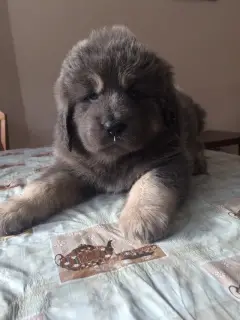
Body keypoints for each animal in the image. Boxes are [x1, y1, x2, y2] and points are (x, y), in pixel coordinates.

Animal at [0, 25, 206, 242]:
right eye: (91, 96)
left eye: (135, 92)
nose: (113, 126)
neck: (114, 159)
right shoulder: (71, 166)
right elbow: (42, 186)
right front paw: (11, 209)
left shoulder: (169, 159)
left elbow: (151, 183)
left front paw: (141, 216)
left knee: (197, 144)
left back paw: (198, 162)